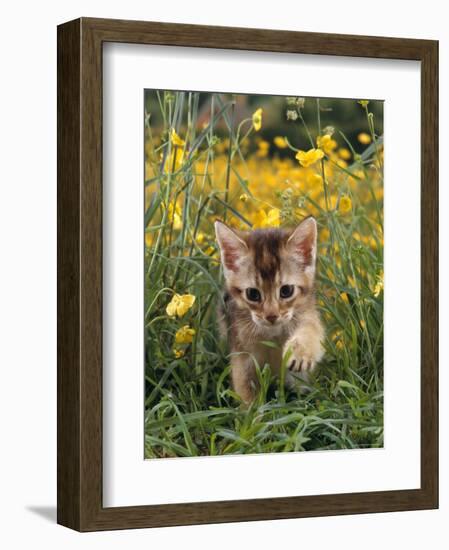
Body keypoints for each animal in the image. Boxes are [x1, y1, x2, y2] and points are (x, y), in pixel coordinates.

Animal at [215, 219, 324, 406]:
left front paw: (300, 352)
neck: (272, 333)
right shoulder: (241, 358)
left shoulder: (307, 314)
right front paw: (253, 414)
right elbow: (246, 394)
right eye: (252, 294)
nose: (271, 315)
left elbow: (311, 330)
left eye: (286, 291)